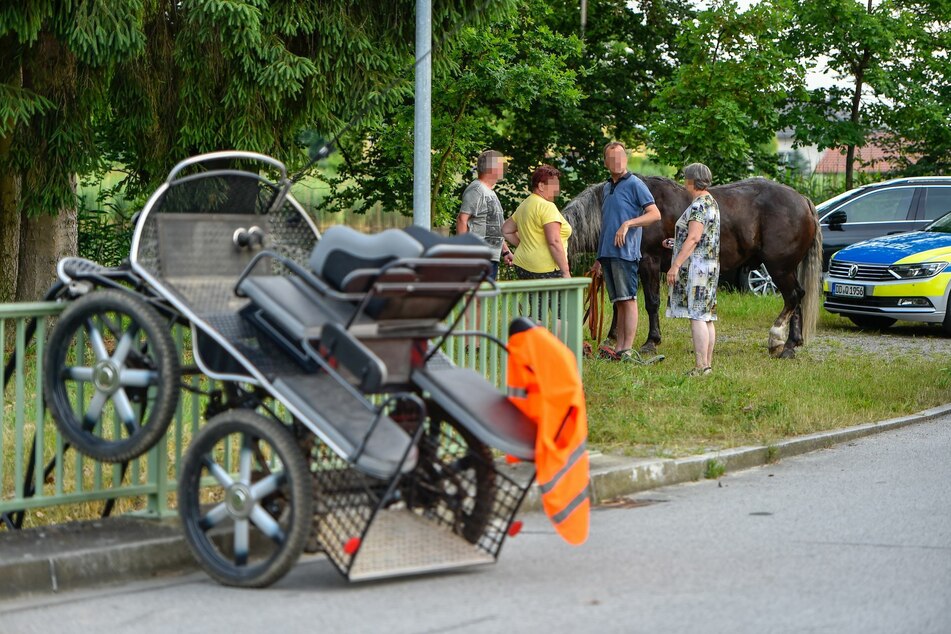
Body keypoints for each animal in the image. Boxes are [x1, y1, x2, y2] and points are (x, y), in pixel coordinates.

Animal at [560, 175, 820, 358]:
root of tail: (804, 201)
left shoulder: (648, 263)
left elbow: (650, 303)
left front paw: (651, 342)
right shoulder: (624, 267)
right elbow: (620, 303)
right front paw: (612, 339)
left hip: (779, 268)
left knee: (793, 297)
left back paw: (778, 341)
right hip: (787, 269)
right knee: (797, 298)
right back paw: (791, 345)